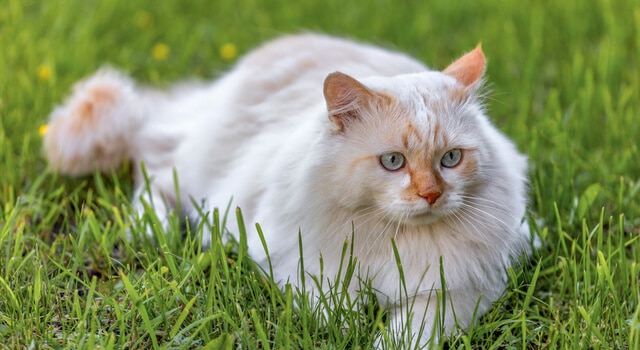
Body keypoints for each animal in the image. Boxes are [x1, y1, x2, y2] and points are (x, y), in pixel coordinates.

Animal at [43, 33, 528, 348]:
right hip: (199, 173)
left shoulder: (459, 292)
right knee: (154, 178)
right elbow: (333, 307)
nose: (431, 195)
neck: (394, 239)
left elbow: (411, 331)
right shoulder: (300, 263)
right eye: (393, 162)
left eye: (451, 159)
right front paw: (347, 329)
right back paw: (151, 230)